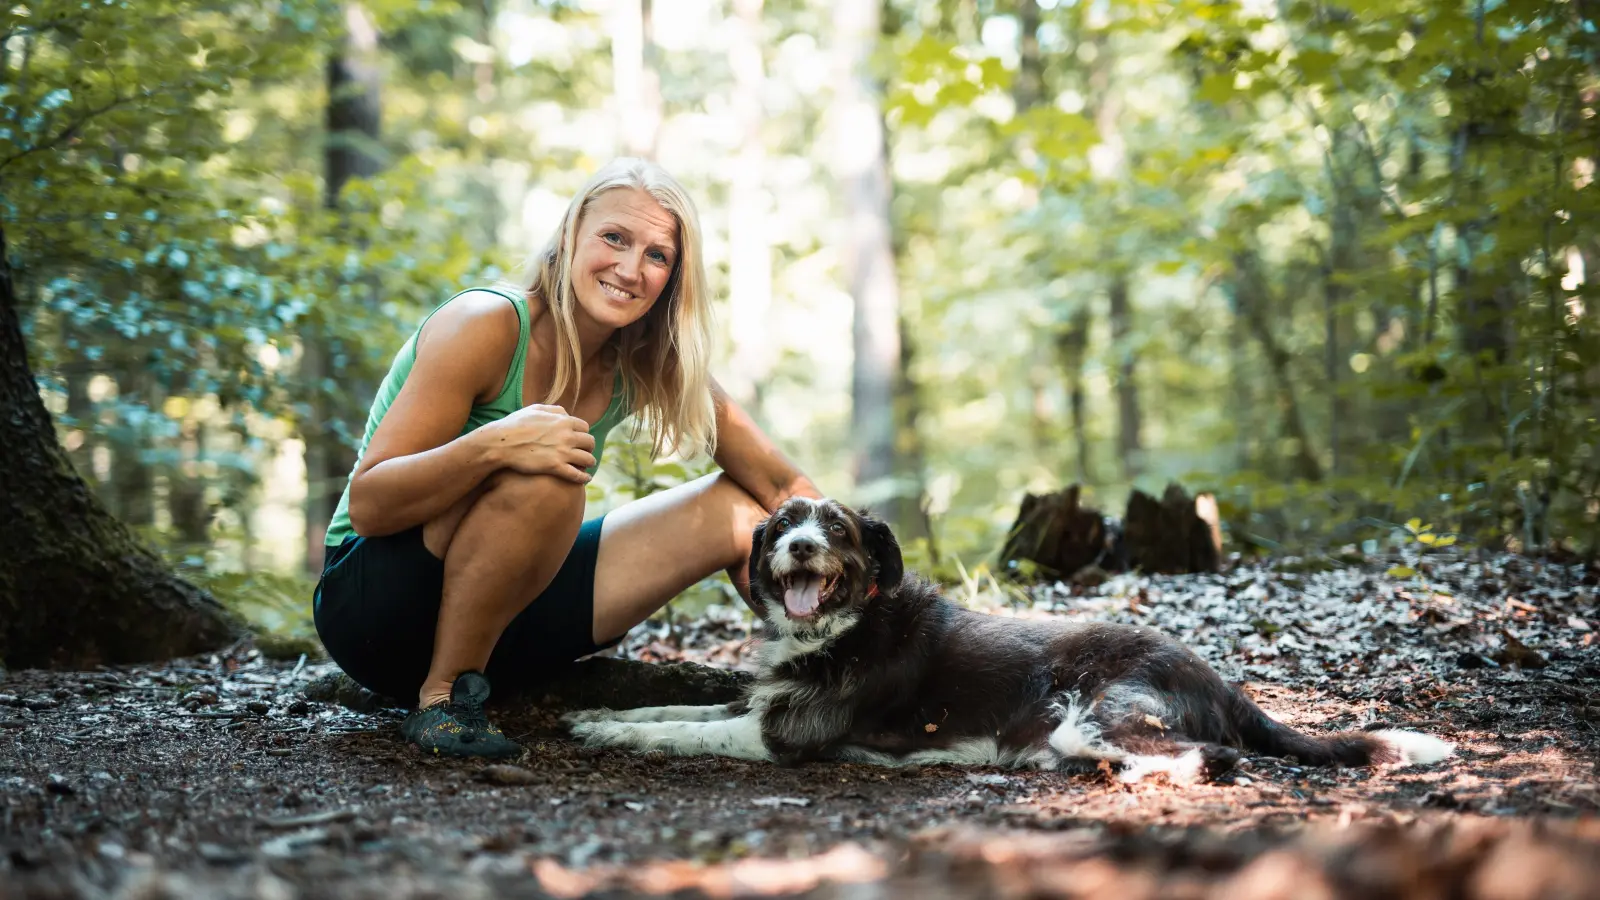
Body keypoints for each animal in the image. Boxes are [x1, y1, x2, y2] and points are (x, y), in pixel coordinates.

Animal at [569, 493, 1459, 781]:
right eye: (784, 525)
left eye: (837, 530)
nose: (801, 548)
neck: (844, 623)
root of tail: (1219, 681)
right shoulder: (759, 706)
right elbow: (675, 710)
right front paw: (596, 716)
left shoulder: (783, 734)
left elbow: (683, 731)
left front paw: (609, 730)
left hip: (1094, 713)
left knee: (1212, 758)